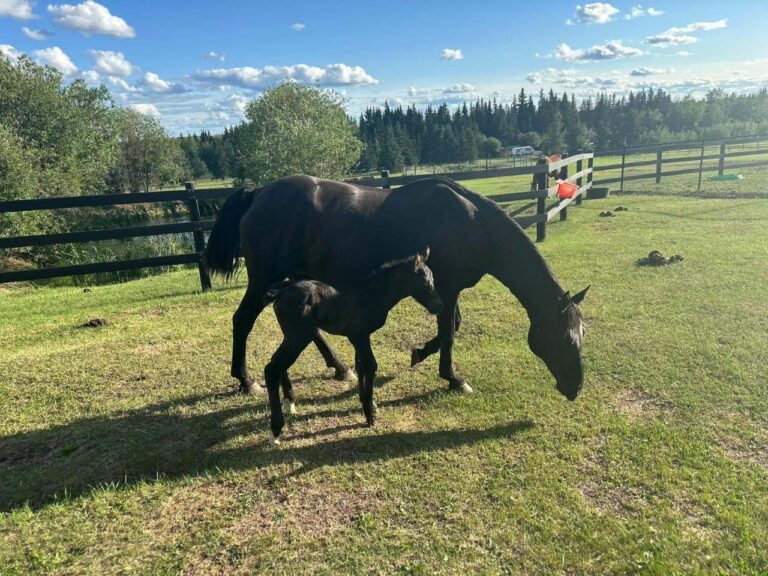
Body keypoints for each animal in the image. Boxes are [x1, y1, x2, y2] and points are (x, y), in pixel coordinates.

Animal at [204, 173, 588, 402]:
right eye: (565, 339)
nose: (575, 388)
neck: (472, 222)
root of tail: (259, 193)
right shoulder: (447, 288)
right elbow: (449, 331)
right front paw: (452, 377)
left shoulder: (445, 289)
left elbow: (452, 326)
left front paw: (419, 354)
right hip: (263, 279)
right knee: (242, 320)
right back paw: (246, 380)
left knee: (309, 328)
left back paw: (340, 367)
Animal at [260, 250, 440, 444]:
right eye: (425, 282)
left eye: (433, 279)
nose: (439, 306)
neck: (371, 294)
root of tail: (281, 292)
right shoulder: (360, 336)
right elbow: (371, 366)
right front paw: (369, 415)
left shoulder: (358, 337)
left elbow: (360, 365)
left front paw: (366, 404)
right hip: (299, 336)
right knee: (272, 368)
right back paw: (276, 430)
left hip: (291, 335)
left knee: (278, 364)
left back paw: (289, 403)